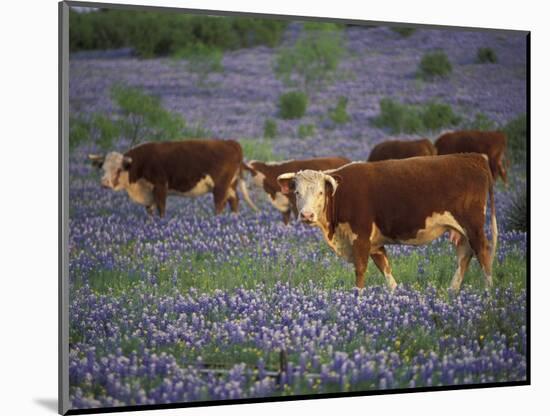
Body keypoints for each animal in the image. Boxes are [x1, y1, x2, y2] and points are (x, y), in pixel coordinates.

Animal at [88, 140, 256, 218]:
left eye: (118, 169)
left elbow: (161, 208)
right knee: (234, 201)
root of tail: (231, 142)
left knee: (219, 205)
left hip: (220, 186)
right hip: (231, 185)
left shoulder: (160, 186)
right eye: (103, 168)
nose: (104, 183)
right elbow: (150, 211)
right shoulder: (148, 193)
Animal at [278, 154, 498, 292]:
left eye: (320, 192)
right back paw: (453, 291)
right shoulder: (375, 244)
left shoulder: (361, 238)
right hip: (461, 231)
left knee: (483, 252)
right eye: (297, 192)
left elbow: (360, 273)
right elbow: (387, 271)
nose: (306, 215)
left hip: (473, 226)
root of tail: (474, 157)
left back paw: (488, 294)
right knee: (465, 254)